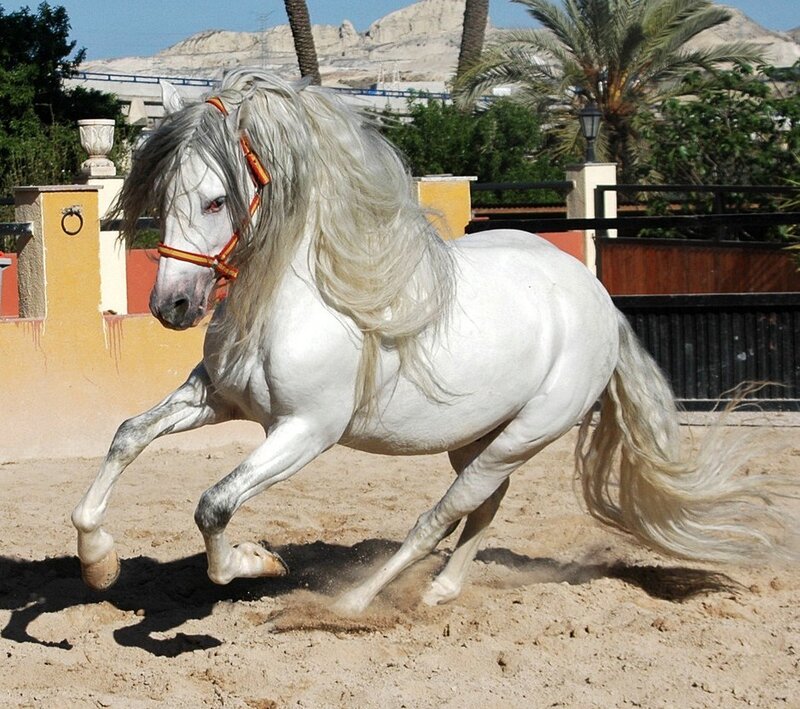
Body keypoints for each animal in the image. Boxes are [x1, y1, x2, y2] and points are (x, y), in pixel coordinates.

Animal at [71, 69, 796, 615]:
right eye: (162, 193)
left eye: (217, 200)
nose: (171, 306)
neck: (296, 296)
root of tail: (599, 302)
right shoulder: (217, 399)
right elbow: (128, 435)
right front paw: (99, 562)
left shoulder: (305, 430)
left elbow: (214, 503)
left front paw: (258, 563)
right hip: (477, 437)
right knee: (482, 505)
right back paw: (441, 591)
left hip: (524, 434)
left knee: (441, 515)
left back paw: (353, 604)